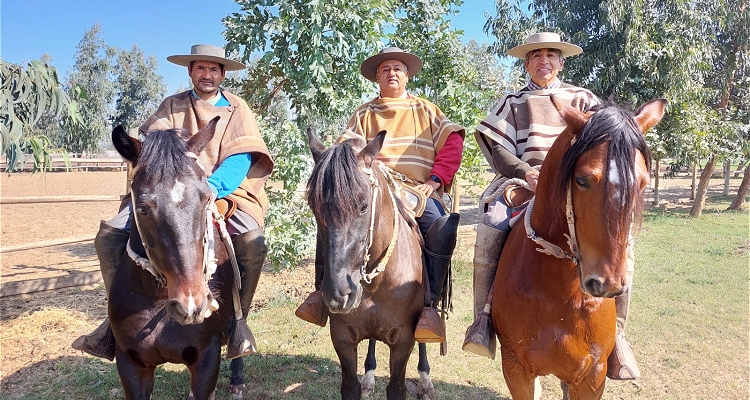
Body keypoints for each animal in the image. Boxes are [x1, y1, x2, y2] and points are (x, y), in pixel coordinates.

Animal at [108, 116, 247, 400]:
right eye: (143, 209)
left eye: (206, 199)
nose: (191, 304)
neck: (157, 302)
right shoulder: (130, 366)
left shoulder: (206, 361)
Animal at [306, 130, 438, 398]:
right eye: (314, 208)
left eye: (363, 206)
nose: (338, 295)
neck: (378, 284)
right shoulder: (342, 338)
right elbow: (351, 387)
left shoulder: (403, 340)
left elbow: (397, 387)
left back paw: (425, 379)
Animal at [494, 97, 668, 400]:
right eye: (583, 180)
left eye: (643, 183)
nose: (606, 283)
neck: (559, 293)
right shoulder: (515, 368)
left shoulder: (592, 375)